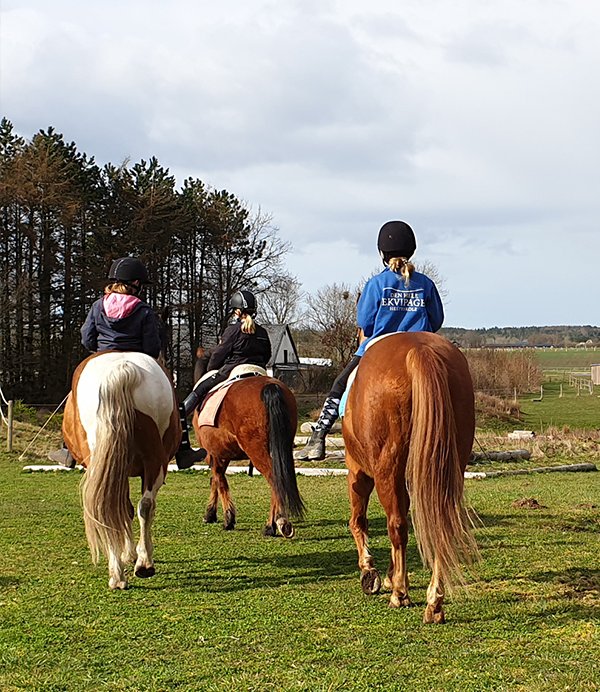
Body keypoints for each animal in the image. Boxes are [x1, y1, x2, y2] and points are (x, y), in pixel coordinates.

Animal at [62, 351, 181, 590]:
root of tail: (123, 369)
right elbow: (127, 508)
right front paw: (131, 554)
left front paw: (129, 553)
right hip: (152, 462)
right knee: (142, 506)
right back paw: (137, 566)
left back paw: (126, 570)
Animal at [192, 350, 304, 537]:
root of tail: (270, 386)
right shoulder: (221, 454)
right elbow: (216, 480)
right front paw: (213, 514)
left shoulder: (214, 453)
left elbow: (218, 480)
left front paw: (226, 518)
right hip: (282, 448)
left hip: (256, 450)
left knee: (274, 478)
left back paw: (275, 524)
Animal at [341, 331, 479, 623]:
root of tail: (420, 350)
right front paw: (391, 575)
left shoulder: (357, 471)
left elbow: (358, 520)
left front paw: (370, 572)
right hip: (448, 469)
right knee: (440, 526)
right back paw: (434, 602)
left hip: (386, 468)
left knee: (397, 525)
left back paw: (400, 595)